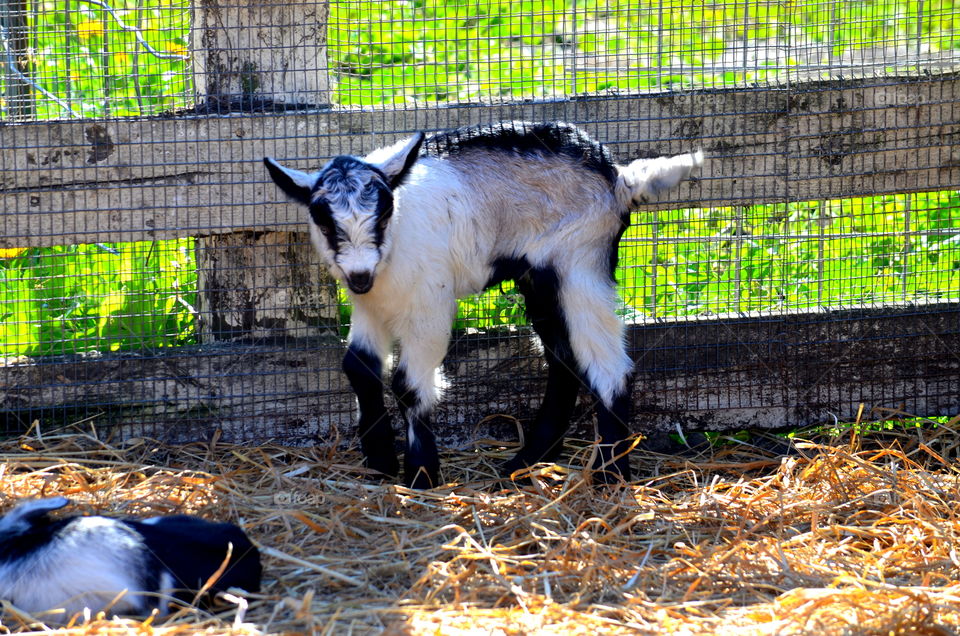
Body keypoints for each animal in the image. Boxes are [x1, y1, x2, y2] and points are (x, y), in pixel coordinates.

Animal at [266, 121, 700, 490]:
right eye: (324, 221)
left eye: (385, 213)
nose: (358, 275)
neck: (393, 249)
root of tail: (619, 179)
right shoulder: (370, 308)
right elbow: (358, 366)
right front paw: (380, 460)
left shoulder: (430, 306)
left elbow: (407, 384)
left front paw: (421, 473)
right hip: (539, 280)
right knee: (564, 359)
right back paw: (528, 462)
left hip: (580, 264)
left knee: (608, 367)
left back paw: (611, 474)